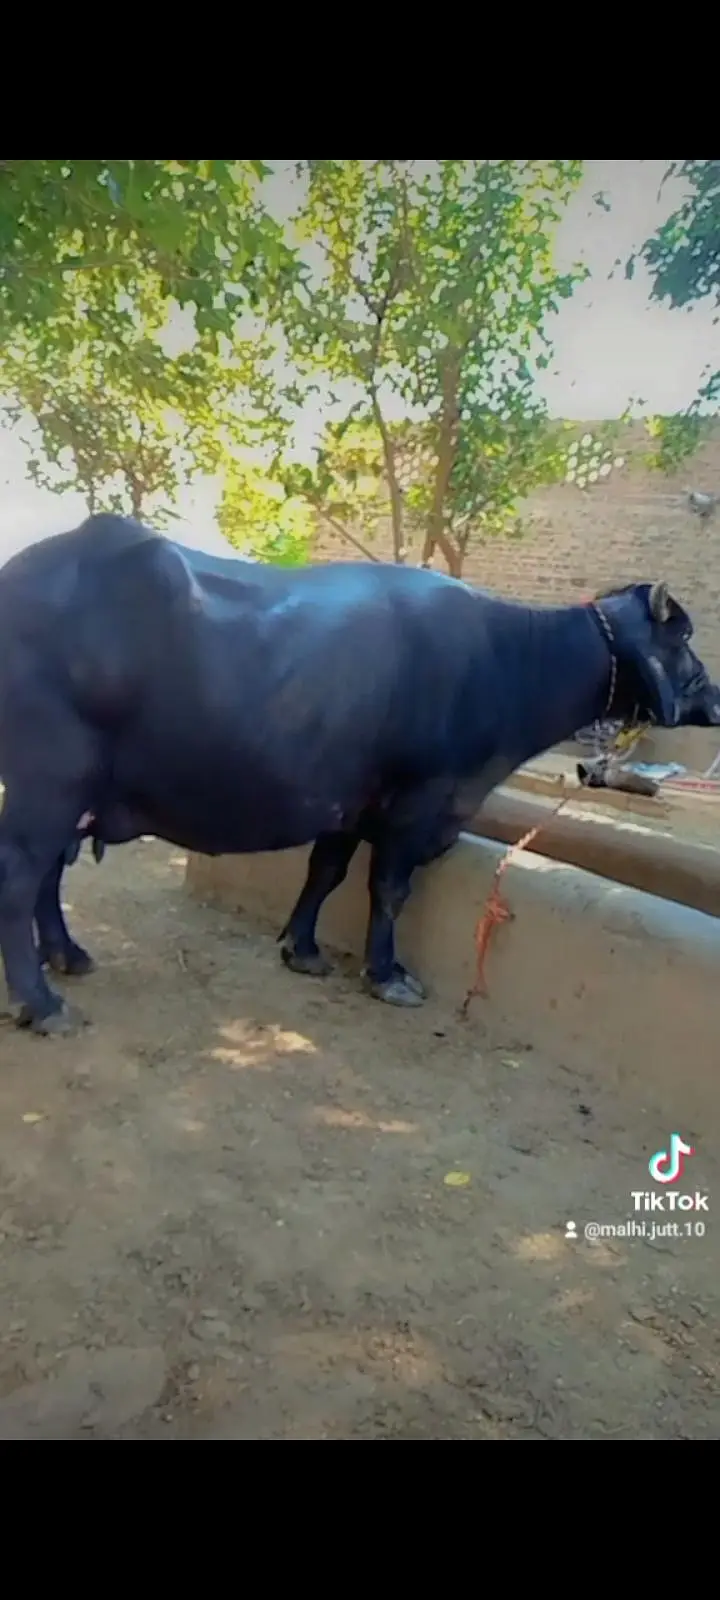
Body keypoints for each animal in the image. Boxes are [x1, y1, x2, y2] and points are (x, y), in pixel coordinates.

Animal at [0, 513, 717, 1034]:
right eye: (683, 638)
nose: (713, 698)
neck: (509, 660)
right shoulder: (419, 799)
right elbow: (390, 888)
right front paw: (388, 974)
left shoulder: (350, 800)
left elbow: (327, 871)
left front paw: (302, 950)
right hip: (50, 781)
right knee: (20, 877)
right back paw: (43, 1003)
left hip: (75, 793)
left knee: (47, 876)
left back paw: (68, 957)